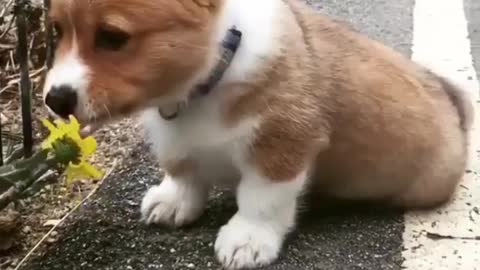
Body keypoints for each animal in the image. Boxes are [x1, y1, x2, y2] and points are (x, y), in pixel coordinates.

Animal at [43, 0, 470, 268]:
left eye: (113, 37)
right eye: (57, 30)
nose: (54, 100)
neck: (211, 75)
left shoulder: (281, 145)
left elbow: (260, 199)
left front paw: (247, 239)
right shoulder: (174, 137)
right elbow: (182, 170)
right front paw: (174, 201)